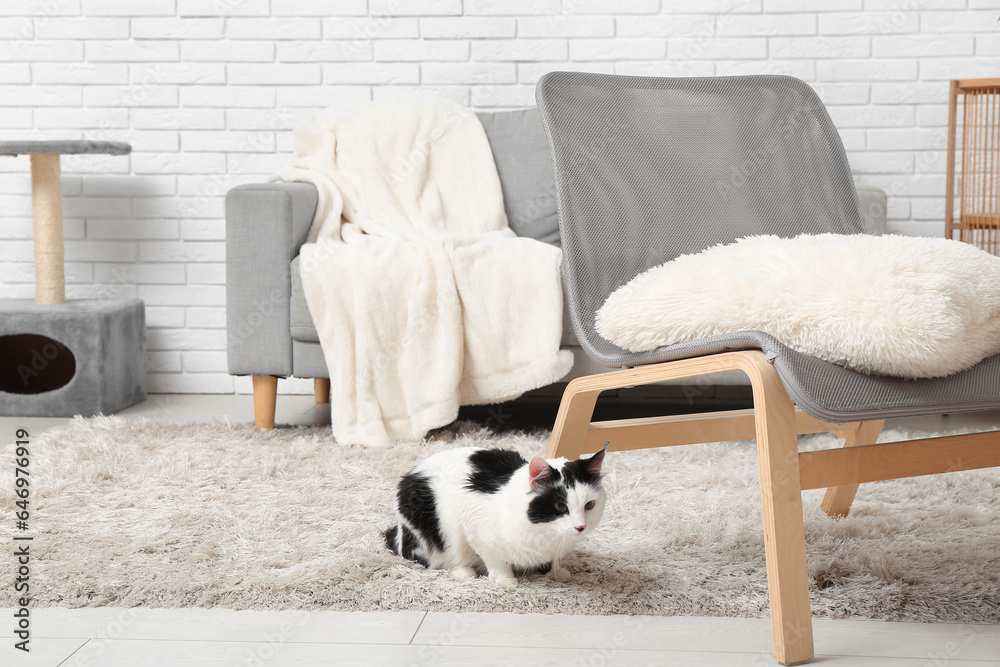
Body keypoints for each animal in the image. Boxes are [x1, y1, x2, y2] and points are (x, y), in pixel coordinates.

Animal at [384, 446, 608, 588]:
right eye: (561, 506)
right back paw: (463, 571)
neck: (544, 532)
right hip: (435, 528)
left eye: (589, 505)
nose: (581, 527)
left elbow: (554, 560)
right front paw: (505, 581)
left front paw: (556, 572)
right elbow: (494, 558)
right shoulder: (475, 525)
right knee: (432, 558)